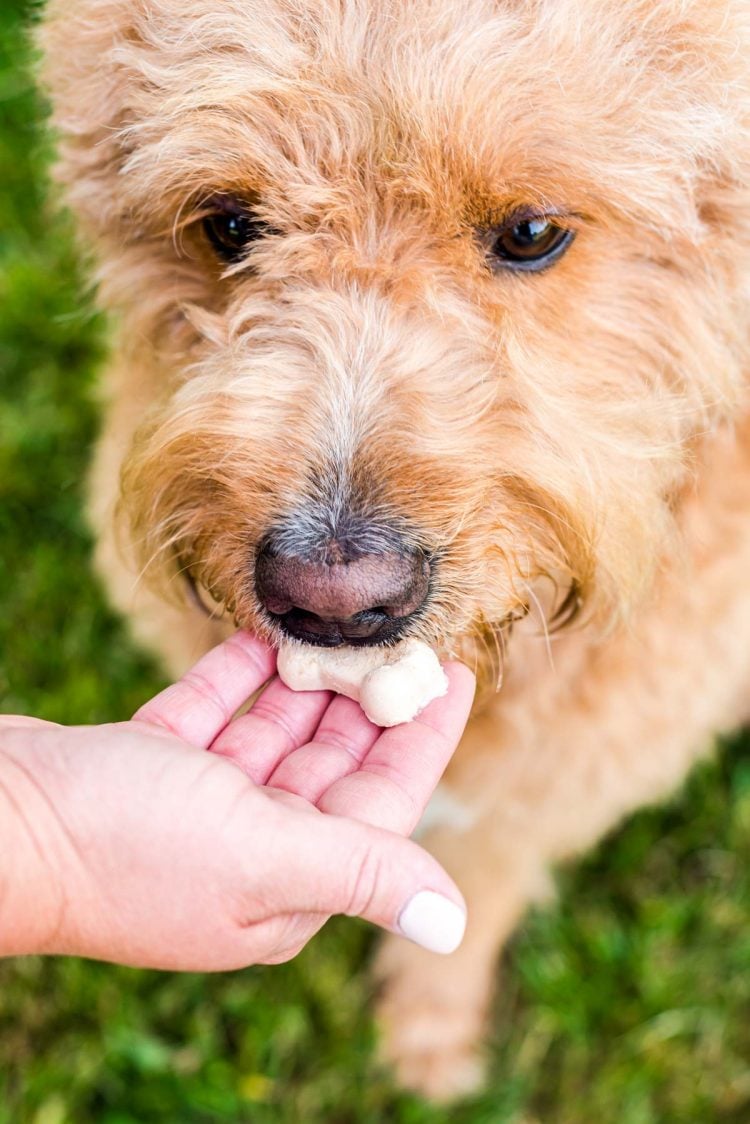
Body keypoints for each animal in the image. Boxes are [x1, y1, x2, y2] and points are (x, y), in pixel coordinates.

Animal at [39, 0, 750, 1106]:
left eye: (532, 232)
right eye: (229, 225)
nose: (333, 602)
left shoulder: (560, 770)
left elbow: (478, 889)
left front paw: (431, 1038)